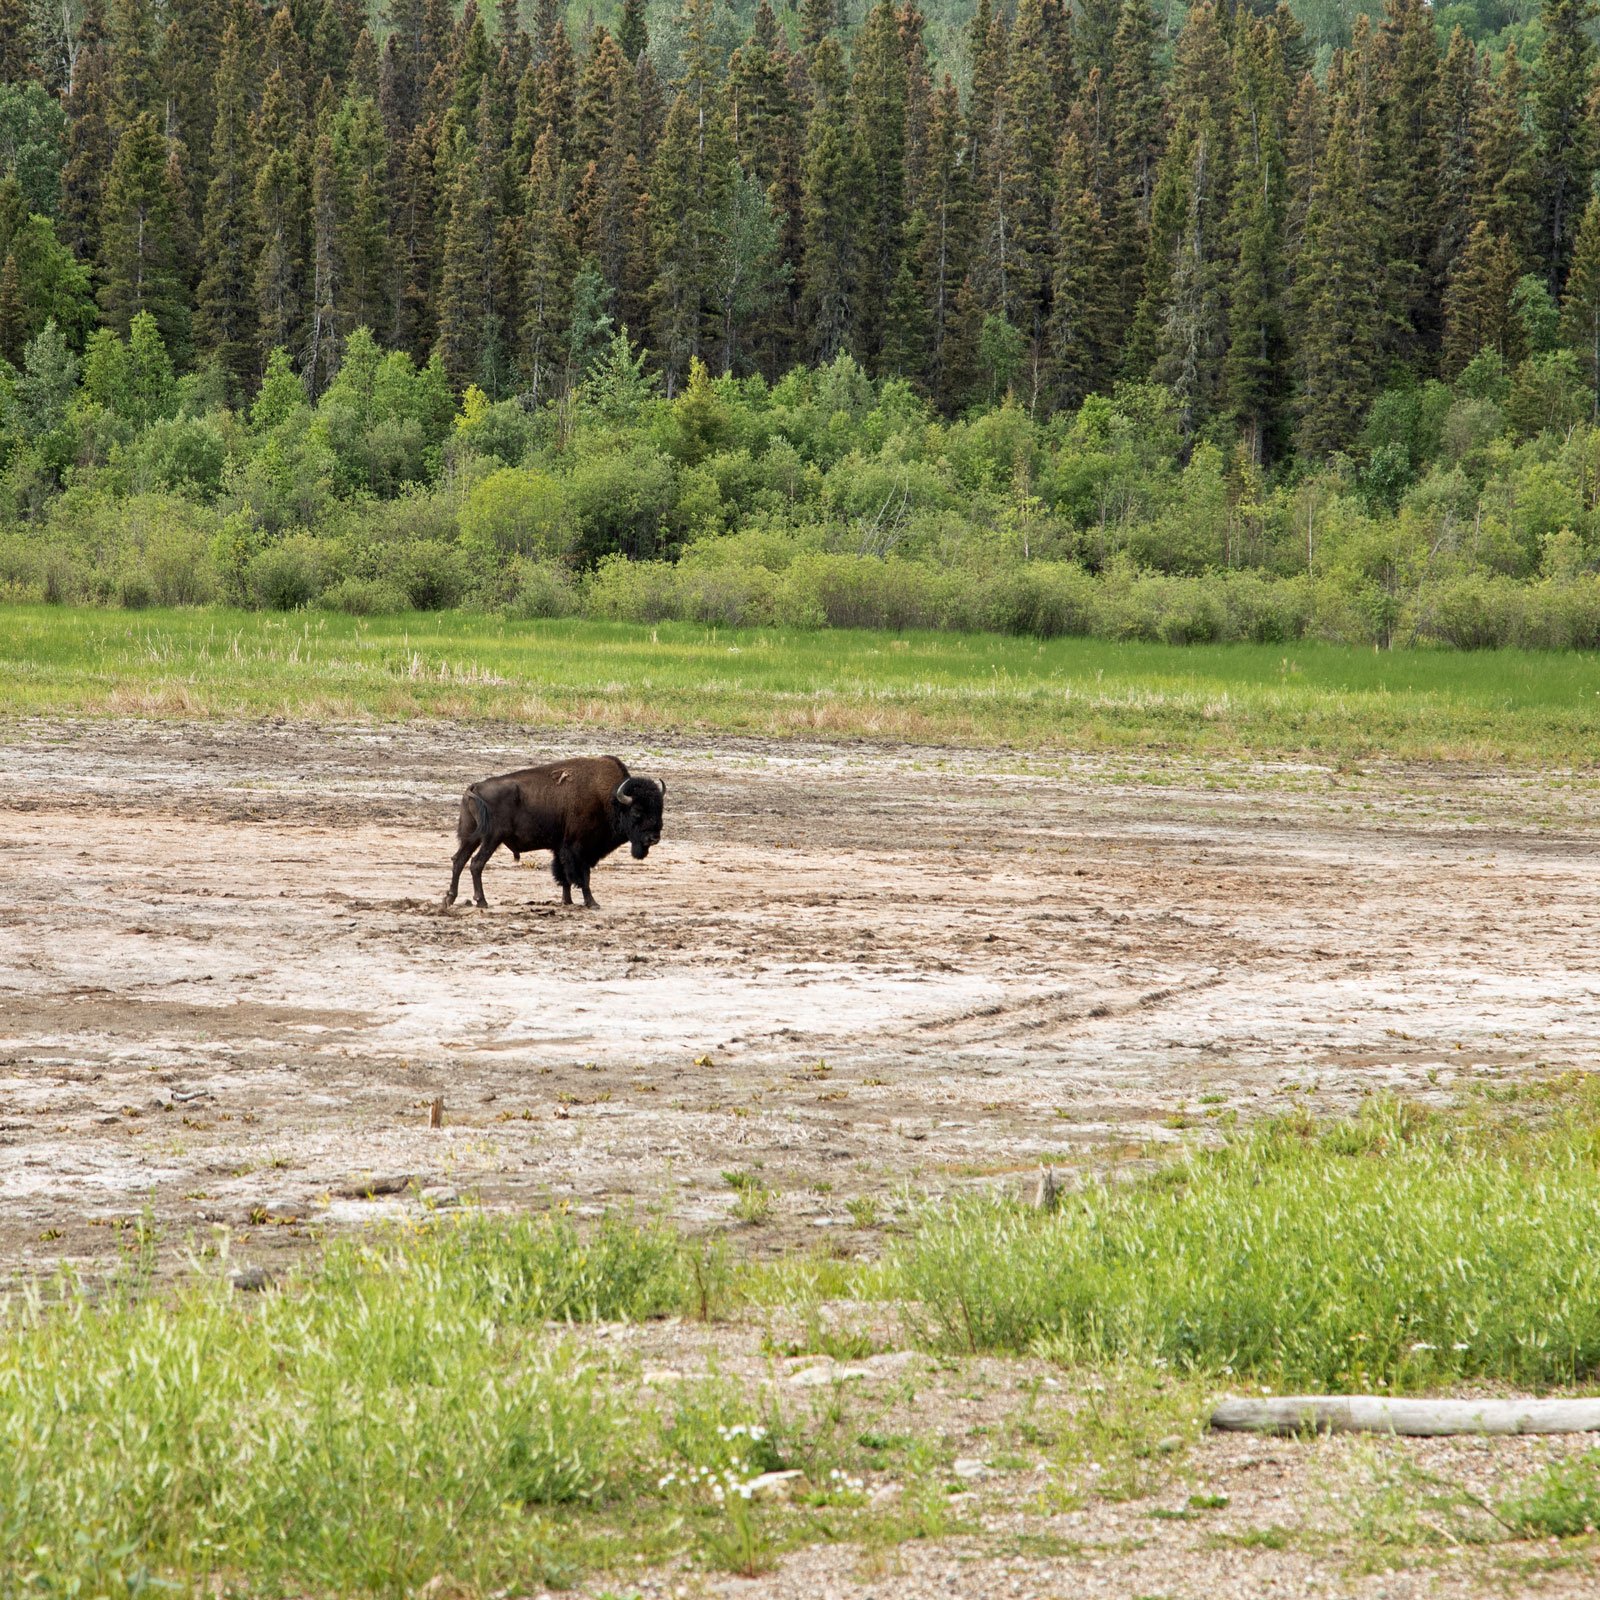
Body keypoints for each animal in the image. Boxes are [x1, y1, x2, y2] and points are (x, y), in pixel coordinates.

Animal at [443, 755, 666, 911]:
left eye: (660, 809)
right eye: (637, 811)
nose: (653, 838)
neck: (608, 799)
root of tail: (475, 787)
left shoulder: (561, 848)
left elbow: (563, 876)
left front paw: (567, 901)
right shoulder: (578, 849)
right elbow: (582, 877)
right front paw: (592, 903)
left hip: (471, 836)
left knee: (459, 860)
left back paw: (449, 898)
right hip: (492, 838)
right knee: (476, 864)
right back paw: (482, 901)